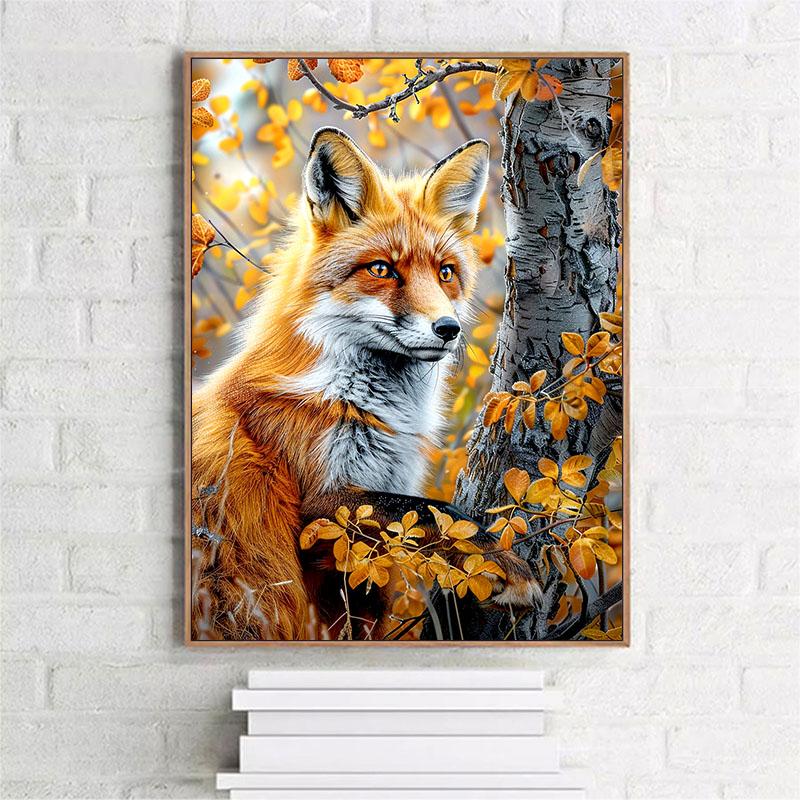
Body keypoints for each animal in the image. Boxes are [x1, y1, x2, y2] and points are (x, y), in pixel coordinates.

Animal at [191, 126, 538, 641]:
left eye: (446, 273)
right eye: (381, 269)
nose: (448, 329)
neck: (366, 409)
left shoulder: (351, 570)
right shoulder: (319, 507)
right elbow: (437, 512)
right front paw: (502, 562)